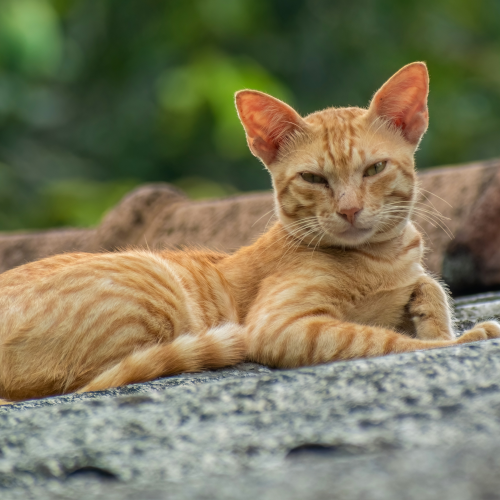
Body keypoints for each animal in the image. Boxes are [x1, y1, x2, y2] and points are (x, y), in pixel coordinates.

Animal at [0, 61, 496, 402]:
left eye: (374, 169)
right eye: (313, 179)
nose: (350, 209)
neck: (383, 256)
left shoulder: (413, 273)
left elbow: (431, 288)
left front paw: (435, 319)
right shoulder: (281, 326)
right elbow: (383, 340)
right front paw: (457, 340)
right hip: (150, 283)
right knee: (99, 379)